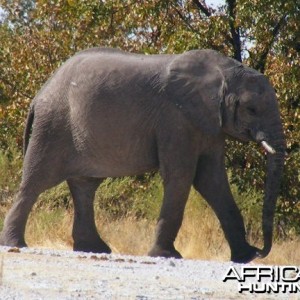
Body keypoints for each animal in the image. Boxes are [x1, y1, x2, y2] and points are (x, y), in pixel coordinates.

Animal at [0, 47, 286, 262]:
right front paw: (167, 255)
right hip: (53, 126)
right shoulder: (175, 119)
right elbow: (181, 176)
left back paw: (95, 249)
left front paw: (243, 258)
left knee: (84, 187)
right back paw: (16, 244)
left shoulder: (210, 124)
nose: (260, 252)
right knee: (36, 182)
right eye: (251, 109)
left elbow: (212, 180)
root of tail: (39, 94)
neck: (224, 72)